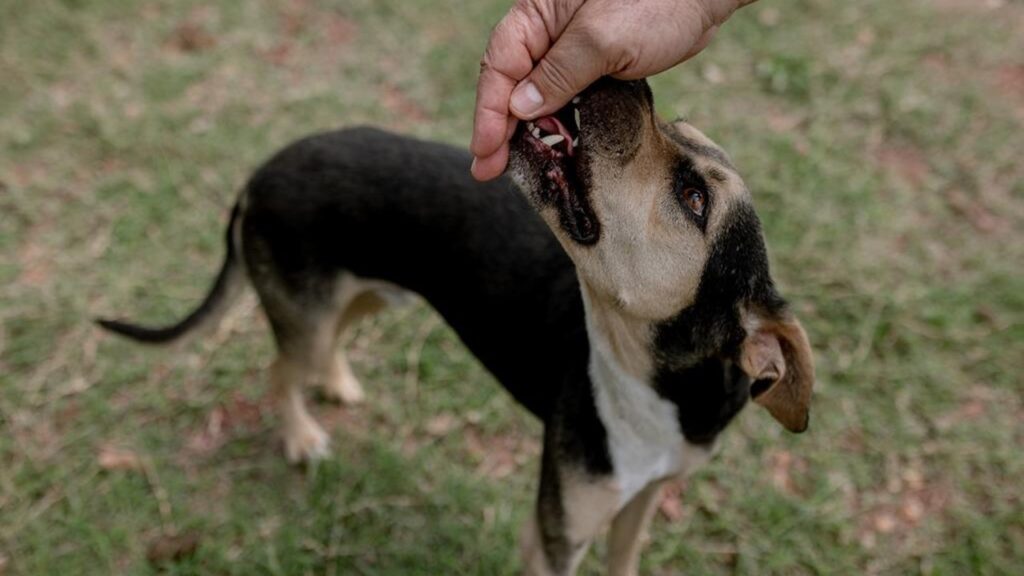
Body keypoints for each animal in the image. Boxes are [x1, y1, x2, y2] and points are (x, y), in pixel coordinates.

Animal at [97, 77, 815, 573]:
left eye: (693, 200)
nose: (632, 80)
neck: (653, 381)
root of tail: (257, 174)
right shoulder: (555, 534)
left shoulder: (640, 501)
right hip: (306, 313)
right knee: (281, 369)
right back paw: (301, 436)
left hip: (366, 295)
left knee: (324, 345)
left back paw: (337, 384)